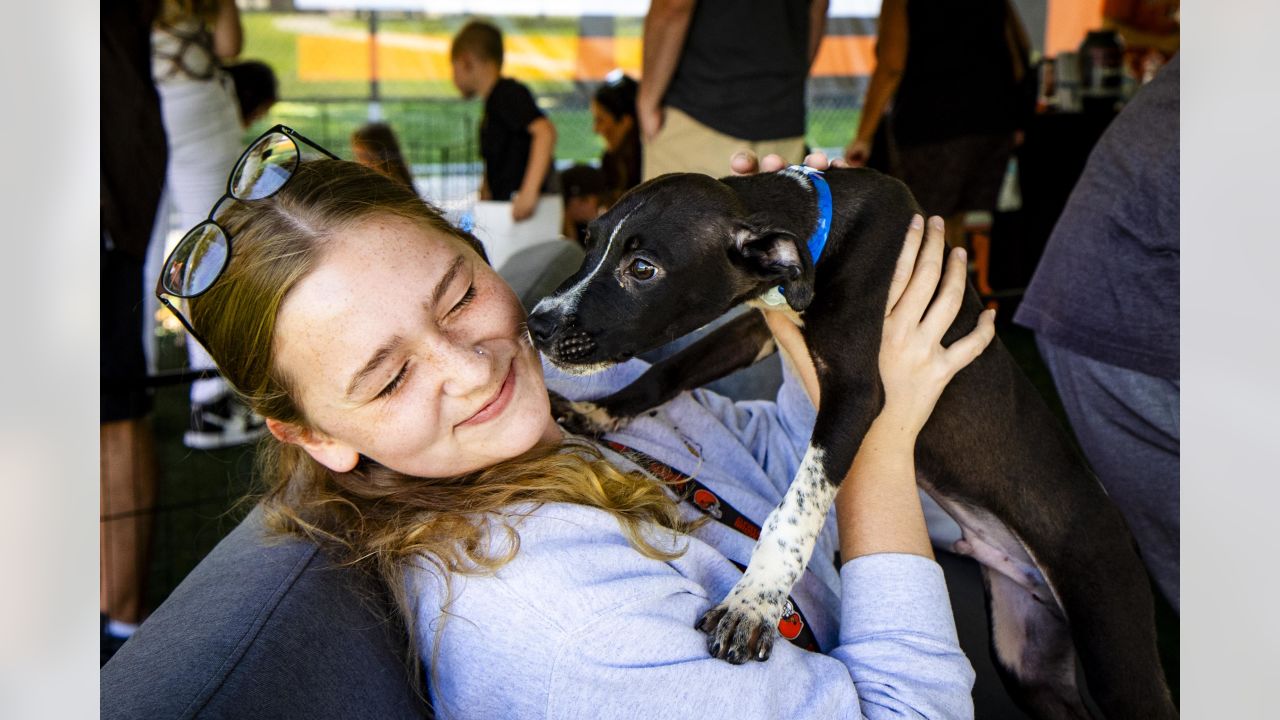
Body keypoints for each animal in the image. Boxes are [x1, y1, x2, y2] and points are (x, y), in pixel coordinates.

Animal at [529, 167, 1177, 717]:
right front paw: (597, 411)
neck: (818, 227)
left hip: (1111, 629)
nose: (537, 322)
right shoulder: (756, 326)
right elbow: (669, 370)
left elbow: (800, 504)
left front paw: (754, 601)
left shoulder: (861, 392)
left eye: (643, 269)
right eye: (588, 240)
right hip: (1028, 661)